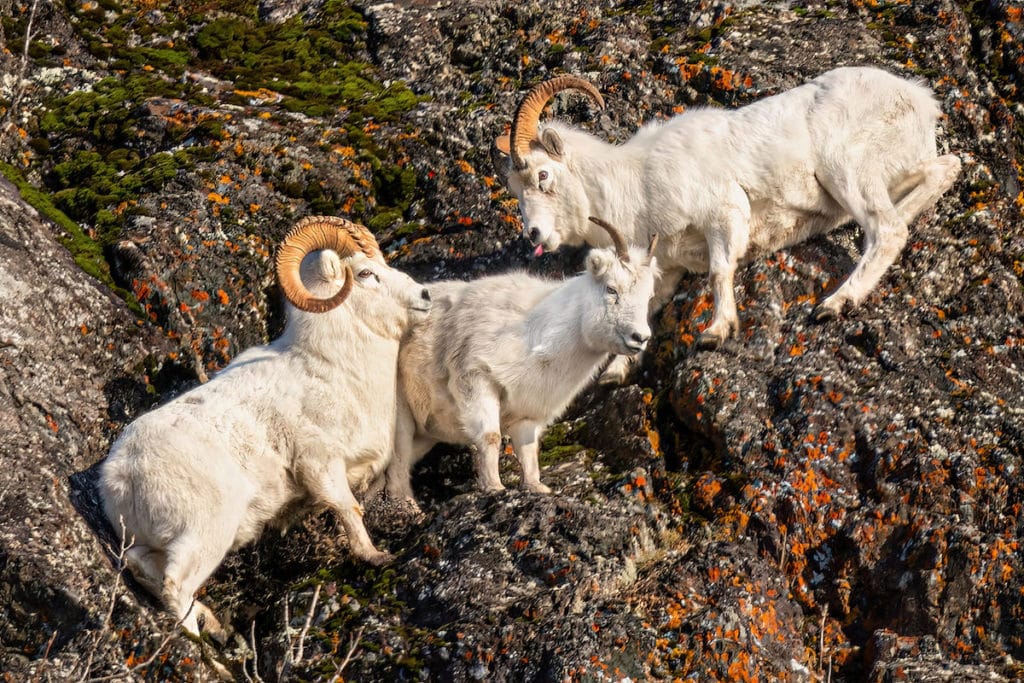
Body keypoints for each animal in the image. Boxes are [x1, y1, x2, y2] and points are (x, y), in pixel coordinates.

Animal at [97, 216, 430, 638]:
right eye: (366, 273)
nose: (425, 295)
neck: (333, 368)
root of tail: (120, 477)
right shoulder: (321, 465)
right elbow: (349, 509)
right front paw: (375, 556)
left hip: (150, 542)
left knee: (142, 566)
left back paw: (213, 625)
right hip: (205, 535)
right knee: (175, 585)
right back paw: (205, 646)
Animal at [387, 216, 659, 509]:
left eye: (648, 297)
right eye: (611, 289)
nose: (640, 337)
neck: (533, 333)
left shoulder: (528, 414)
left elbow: (529, 453)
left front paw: (536, 488)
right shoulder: (477, 380)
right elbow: (490, 437)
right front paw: (494, 487)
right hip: (400, 414)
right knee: (398, 460)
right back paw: (408, 507)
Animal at [493, 68, 958, 350]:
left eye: (543, 176)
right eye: (516, 189)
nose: (534, 235)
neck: (637, 182)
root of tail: (919, 99)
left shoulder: (722, 211)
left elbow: (720, 271)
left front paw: (716, 333)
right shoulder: (667, 268)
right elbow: (644, 306)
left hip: (846, 170)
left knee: (887, 229)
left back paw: (834, 303)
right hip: (897, 169)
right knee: (943, 171)